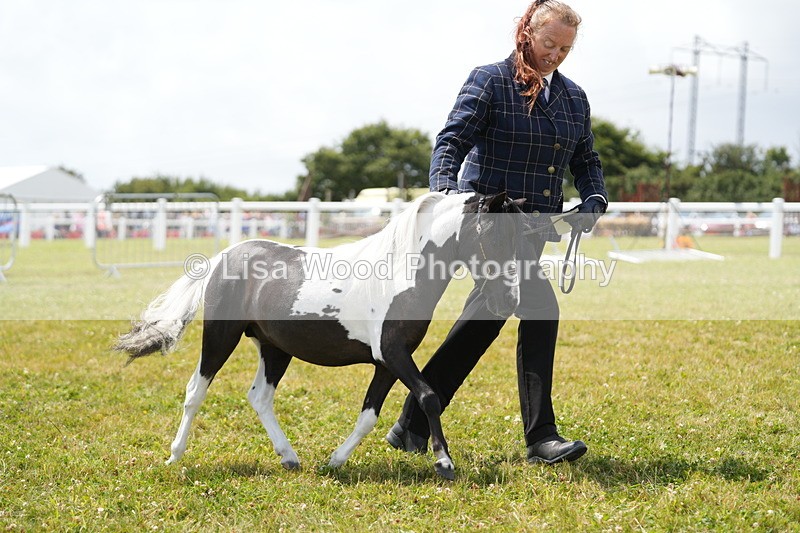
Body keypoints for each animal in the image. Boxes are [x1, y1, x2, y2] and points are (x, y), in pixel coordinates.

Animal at [115, 191, 525, 480]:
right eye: (492, 234)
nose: (509, 299)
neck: (400, 273)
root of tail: (225, 257)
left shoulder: (387, 362)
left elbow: (369, 416)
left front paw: (335, 461)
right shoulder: (393, 354)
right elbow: (429, 397)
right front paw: (444, 462)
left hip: (275, 348)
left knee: (259, 397)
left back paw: (289, 458)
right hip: (220, 337)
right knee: (195, 392)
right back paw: (175, 456)